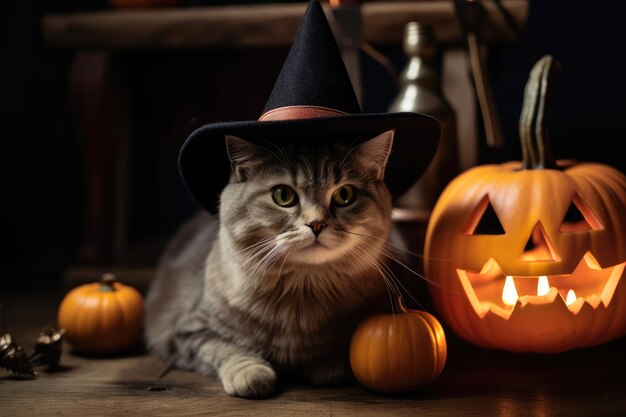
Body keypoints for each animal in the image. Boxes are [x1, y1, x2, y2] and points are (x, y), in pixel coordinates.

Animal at [143, 130, 394, 396]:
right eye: (283, 195)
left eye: (344, 195)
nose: (316, 224)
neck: (300, 292)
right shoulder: (187, 332)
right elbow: (224, 348)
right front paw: (250, 373)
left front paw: (328, 364)